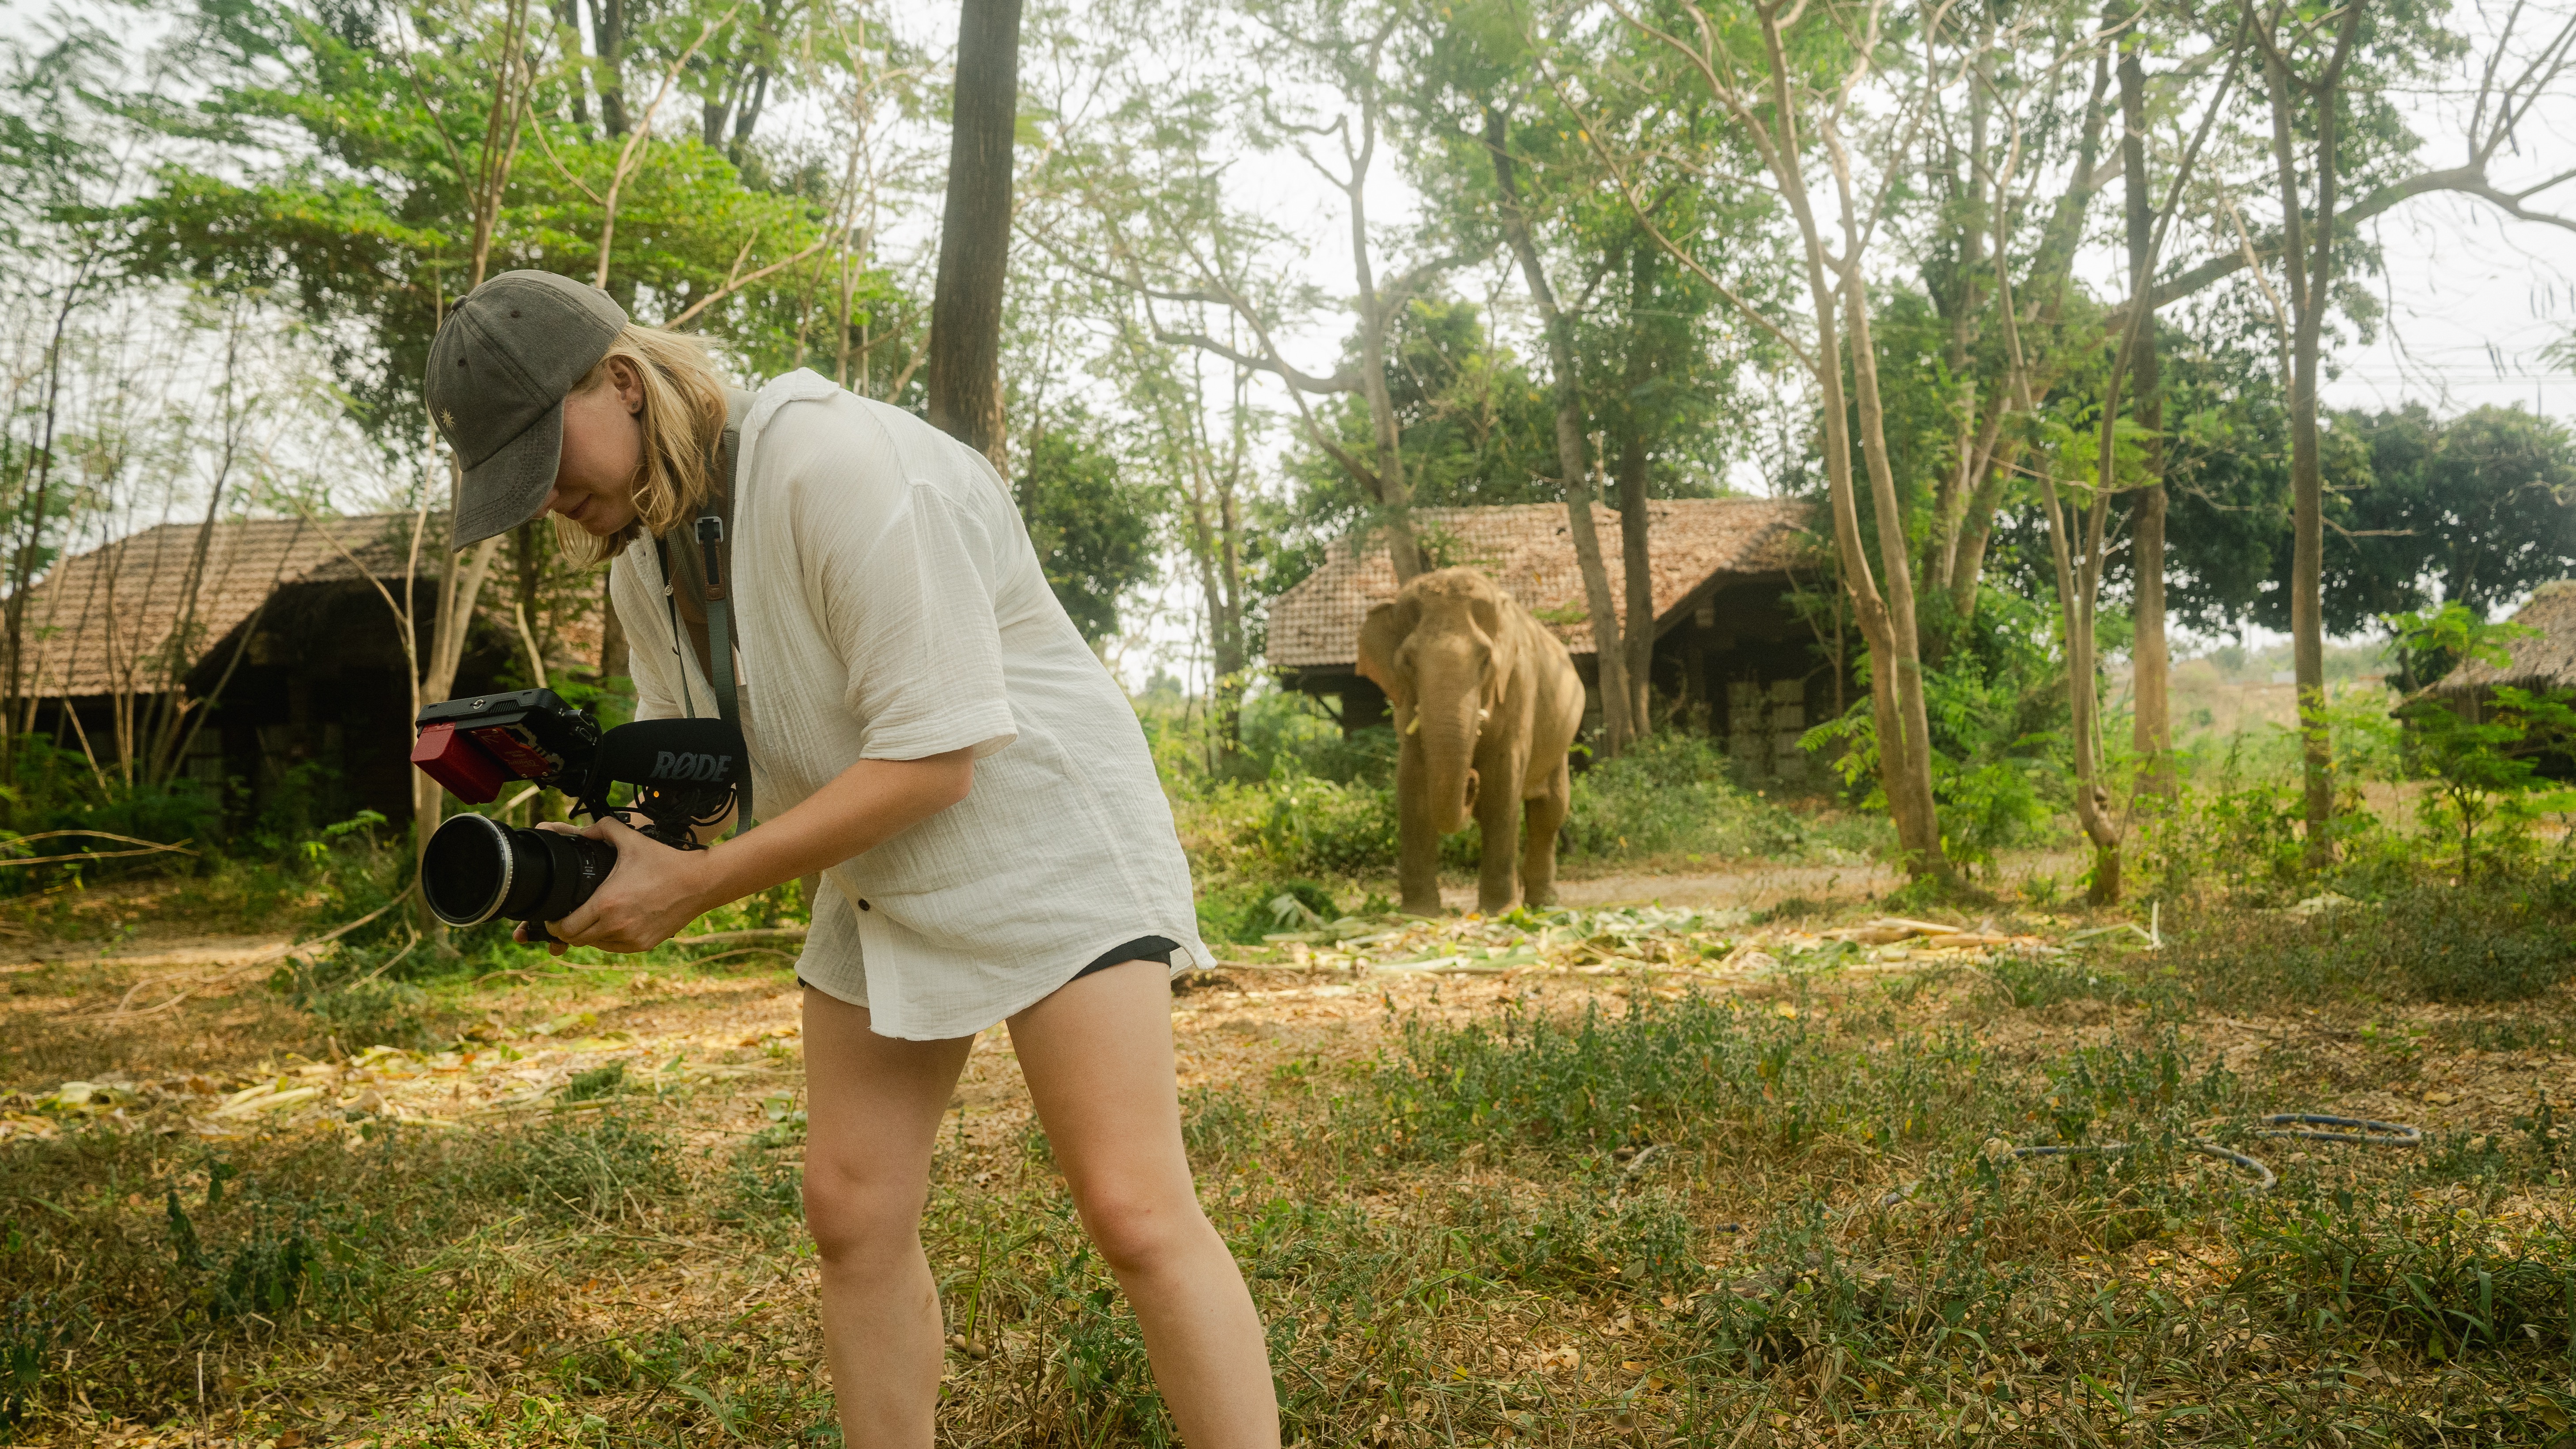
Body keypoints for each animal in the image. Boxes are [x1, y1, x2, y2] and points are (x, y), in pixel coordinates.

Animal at [1356, 567, 1586, 916]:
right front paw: (1418, 914)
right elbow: (1412, 786)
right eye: (1408, 662)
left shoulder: (1519, 686)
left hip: (1561, 742)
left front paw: (1501, 912)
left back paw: (1543, 905)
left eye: (1486, 660)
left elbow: (1502, 787)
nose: (1471, 778)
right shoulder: (1404, 703)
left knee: (1549, 813)